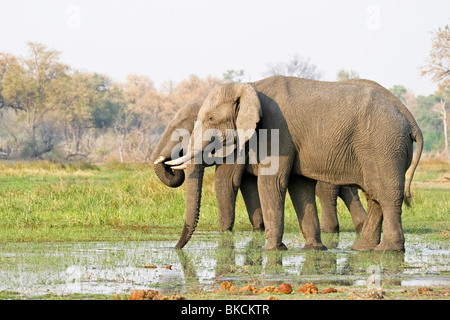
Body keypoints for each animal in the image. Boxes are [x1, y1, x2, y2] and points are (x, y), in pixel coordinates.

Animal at [167, 75, 424, 252]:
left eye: (211, 118)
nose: (175, 248)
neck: (250, 85)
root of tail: (409, 116)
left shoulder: (276, 131)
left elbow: (272, 182)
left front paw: (272, 250)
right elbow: (300, 186)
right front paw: (314, 249)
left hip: (384, 145)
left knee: (386, 194)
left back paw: (387, 250)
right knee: (374, 195)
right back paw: (362, 249)